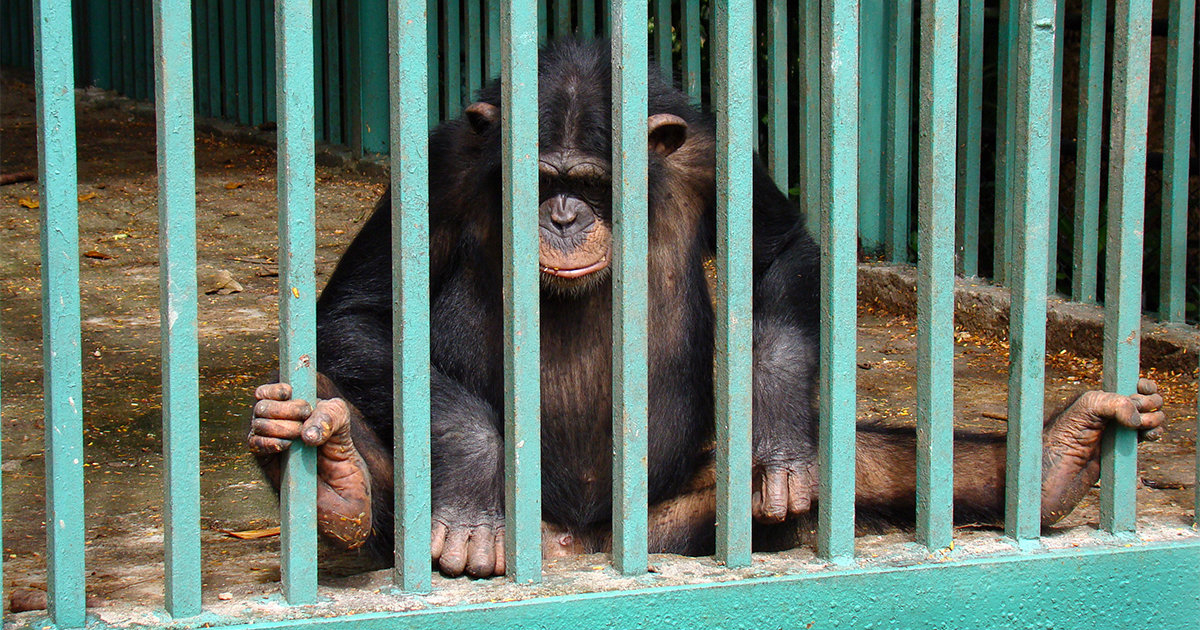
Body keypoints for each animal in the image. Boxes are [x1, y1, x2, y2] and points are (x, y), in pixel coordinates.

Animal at [246, 39, 1161, 578]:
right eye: (541, 181)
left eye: (592, 185)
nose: (564, 218)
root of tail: (581, 547)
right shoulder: (445, 164)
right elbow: (359, 313)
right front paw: (470, 486)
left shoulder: (716, 153)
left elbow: (780, 252)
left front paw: (781, 434)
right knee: (329, 399)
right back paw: (336, 481)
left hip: (678, 524)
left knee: (856, 463)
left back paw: (1061, 458)